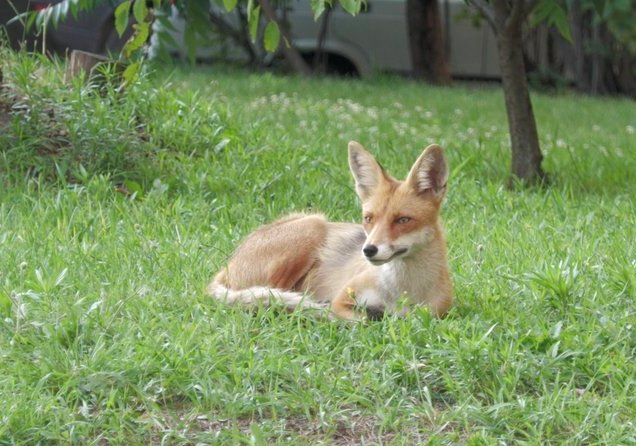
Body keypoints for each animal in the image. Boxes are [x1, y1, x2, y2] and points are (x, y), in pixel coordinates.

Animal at [207, 141, 452, 318]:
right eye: (368, 218)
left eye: (402, 220)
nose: (368, 250)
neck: (401, 292)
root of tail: (228, 263)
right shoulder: (342, 301)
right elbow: (362, 321)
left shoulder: (435, 314)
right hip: (313, 226)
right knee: (270, 294)